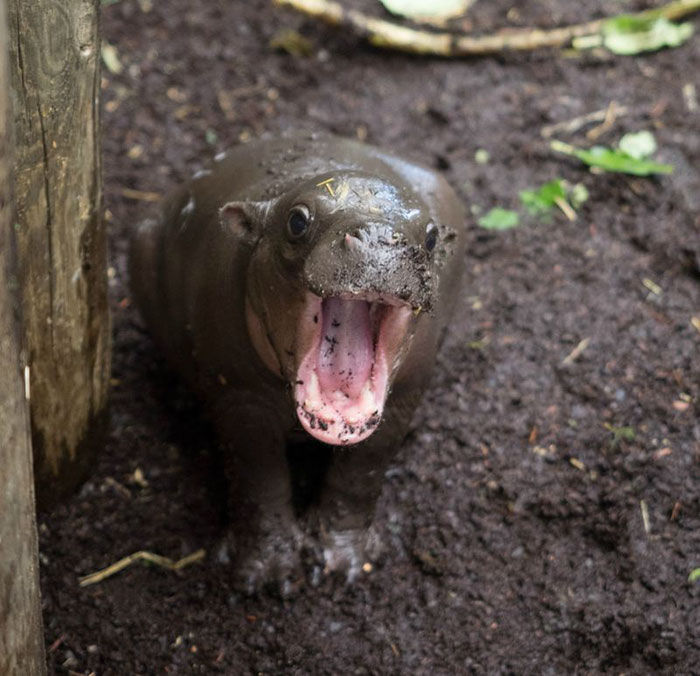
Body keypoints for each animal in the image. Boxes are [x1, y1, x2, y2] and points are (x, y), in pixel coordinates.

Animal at [129, 132, 466, 594]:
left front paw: (345, 565)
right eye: (297, 221)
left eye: (431, 236)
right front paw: (268, 577)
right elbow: (259, 477)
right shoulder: (240, 396)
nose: (379, 236)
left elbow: (361, 474)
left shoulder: (402, 399)